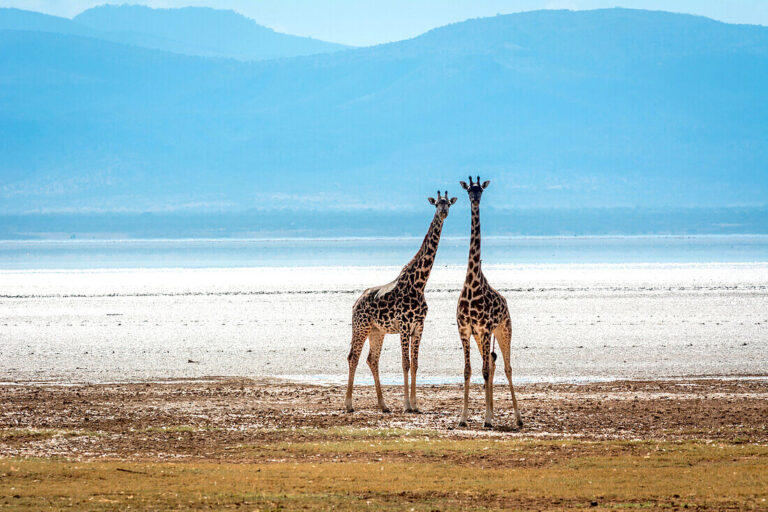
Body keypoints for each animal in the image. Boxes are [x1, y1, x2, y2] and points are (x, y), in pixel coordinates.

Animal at [346, 190, 460, 414]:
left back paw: (383, 405)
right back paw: (349, 404)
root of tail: (356, 302)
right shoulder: (405, 327)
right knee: (353, 357)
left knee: (372, 359)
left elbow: (415, 363)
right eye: (437, 204)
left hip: (377, 331)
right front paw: (407, 405)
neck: (420, 284)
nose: (444, 212)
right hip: (361, 327)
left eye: (449, 204)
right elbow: (405, 363)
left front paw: (415, 404)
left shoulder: (419, 327)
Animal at [456, 176, 520, 428]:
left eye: (480, 190)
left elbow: (483, 371)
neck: (472, 285)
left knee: (507, 366)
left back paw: (518, 418)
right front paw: (463, 418)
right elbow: (468, 370)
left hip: (504, 329)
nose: (475, 199)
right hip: (482, 336)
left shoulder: (484, 329)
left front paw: (487, 419)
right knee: (491, 362)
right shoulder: (466, 329)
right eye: (468, 190)